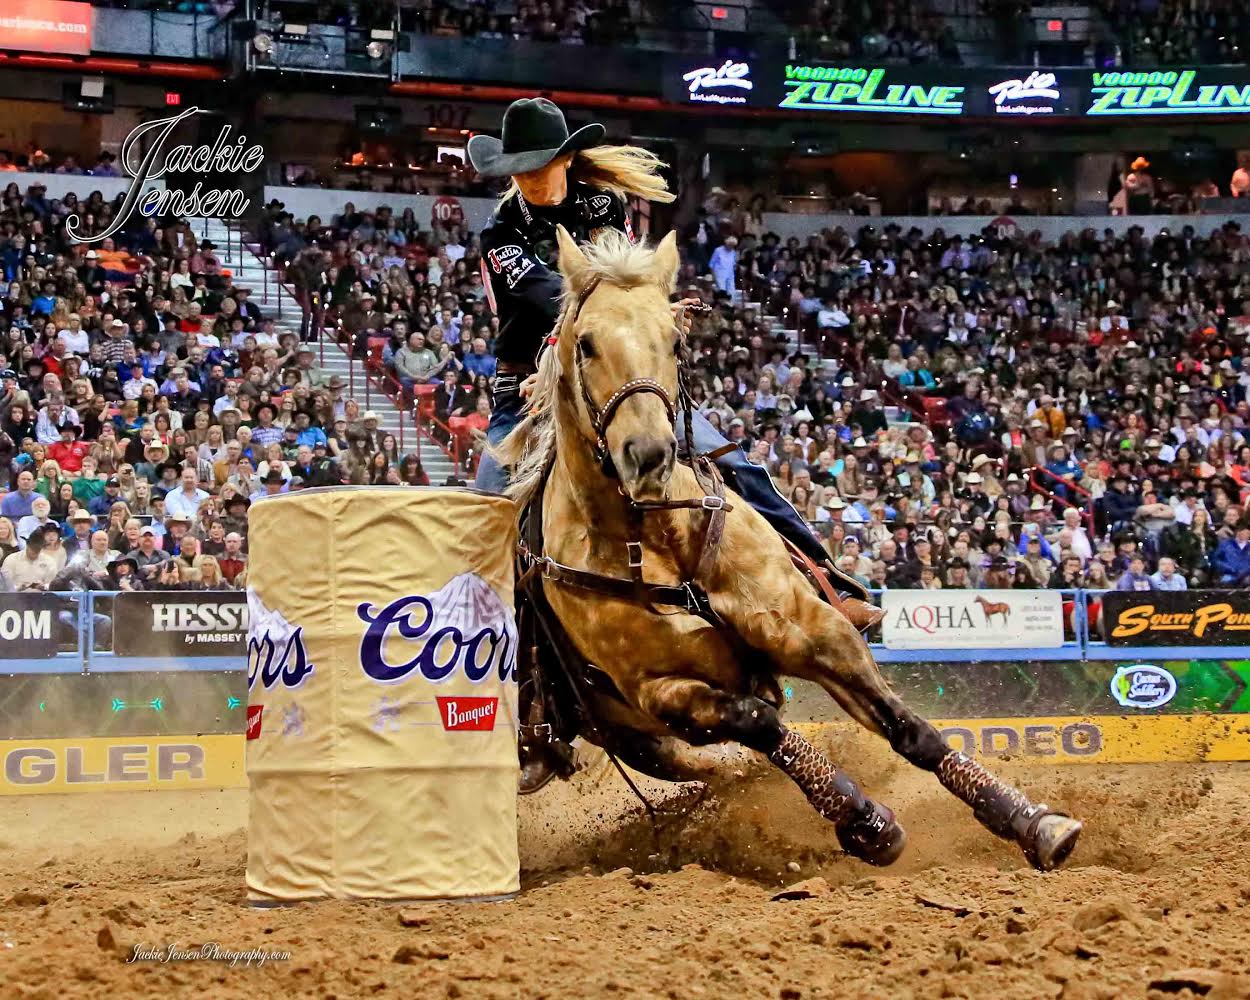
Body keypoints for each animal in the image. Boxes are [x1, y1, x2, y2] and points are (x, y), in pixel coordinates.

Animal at [497, 226, 1085, 865]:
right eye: (585, 344)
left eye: (674, 341)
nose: (648, 455)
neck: (662, 539)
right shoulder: (663, 693)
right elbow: (759, 723)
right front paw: (866, 821)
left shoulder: (816, 631)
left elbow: (911, 731)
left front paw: (1034, 822)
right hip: (634, 736)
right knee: (723, 766)